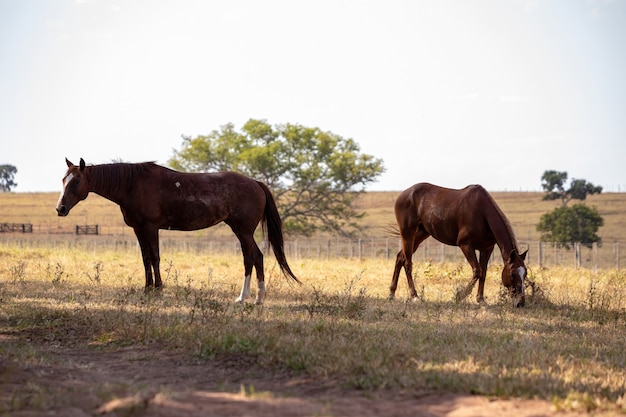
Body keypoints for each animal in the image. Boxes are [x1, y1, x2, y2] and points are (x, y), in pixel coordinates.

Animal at [54, 157, 298, 302]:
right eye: (63, 180)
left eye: (76, 182)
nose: (60, 208)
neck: (132, 185)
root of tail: (256, 183)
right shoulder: (138, 229)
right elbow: (145, 259)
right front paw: (147, 288)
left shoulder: (151, 228)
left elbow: (155, 257)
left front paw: (158, 289)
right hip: (241, 230)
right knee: (256, 257)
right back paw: (257, 297)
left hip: (243, 231)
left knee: (251, 257)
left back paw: (245, 297)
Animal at [390, 184, 528, 308]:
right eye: (512, 274)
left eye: (525, 274)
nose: (520, 303)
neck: (482, 213)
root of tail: (403, 195)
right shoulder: (465, 245)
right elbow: (477, 271)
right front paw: (459, 296)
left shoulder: (486, 249)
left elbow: (483, 273)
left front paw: (481, 300)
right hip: (408, 234)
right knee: (408, 263)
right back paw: (414, 296)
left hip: (421, 234)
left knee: (400, 257)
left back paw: (391, 293)